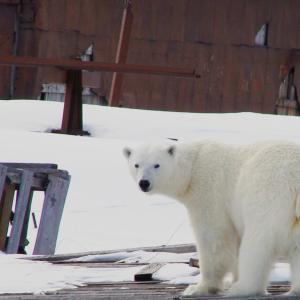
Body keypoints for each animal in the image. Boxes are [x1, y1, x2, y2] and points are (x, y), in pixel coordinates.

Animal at [123, 141, 300, 296]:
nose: (144, 183)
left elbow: (213, 238)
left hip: (268, 195)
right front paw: (230, 281)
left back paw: (242, 288)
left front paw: (199, 288)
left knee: (257, 243)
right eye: (136, 165)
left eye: (157, 165)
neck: (193, 167)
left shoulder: (209, 192)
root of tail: (295, 177)